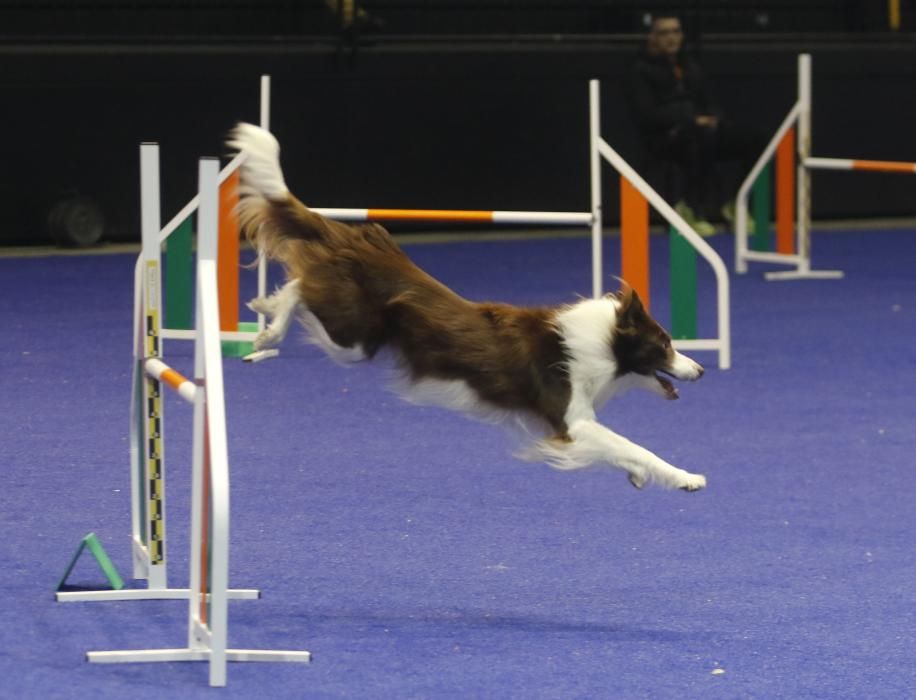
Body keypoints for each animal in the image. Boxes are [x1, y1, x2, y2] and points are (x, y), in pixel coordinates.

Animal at [227, 121, 708, 492]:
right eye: (665, 344)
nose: (702, 370)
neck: (601, 342)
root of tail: (360, 240)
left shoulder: (576, 423)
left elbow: (622, 449)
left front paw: (638, 475)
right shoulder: (570, 420)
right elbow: (633, 444)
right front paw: (684, 477)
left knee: (302, 280)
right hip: (354, 334)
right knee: (300, 286)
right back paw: (267, 328)